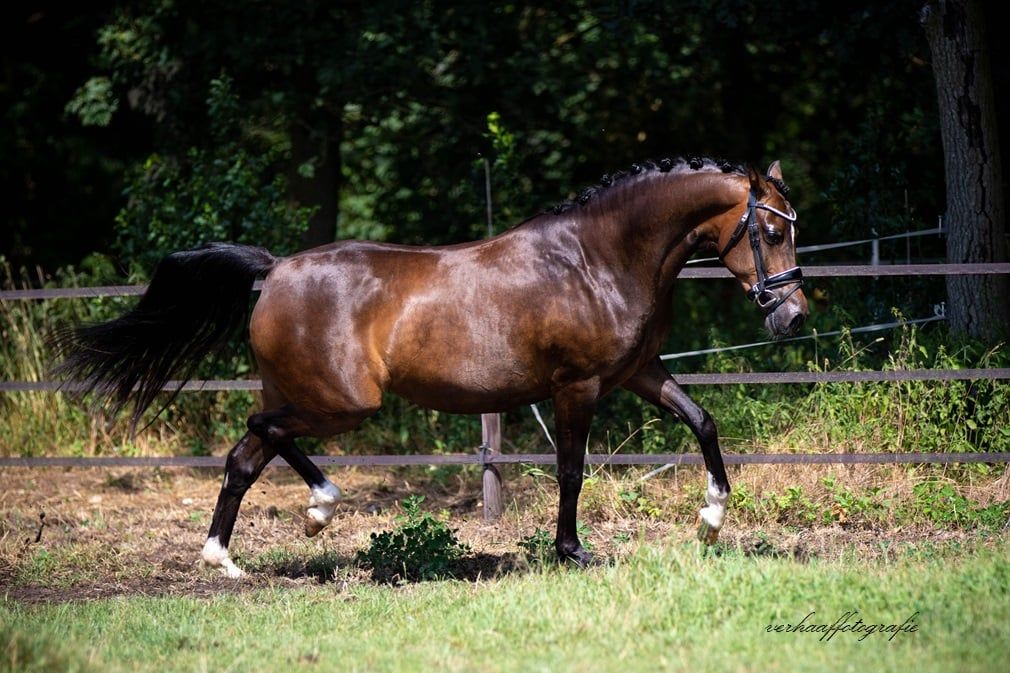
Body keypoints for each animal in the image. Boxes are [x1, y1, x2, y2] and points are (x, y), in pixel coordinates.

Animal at [55, 157, 807, 577]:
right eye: (771, 230)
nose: (793, 315)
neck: (596, 259)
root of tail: (275, 269)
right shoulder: (579, 385)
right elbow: (570, 470)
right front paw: (572, 552)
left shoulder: (640, 372)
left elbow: (703, 422)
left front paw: (711, 520)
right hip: (343, 401)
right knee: (261, 427)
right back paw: (318, 508)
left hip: (306, 392)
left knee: (248, 451)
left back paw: (228, 557)